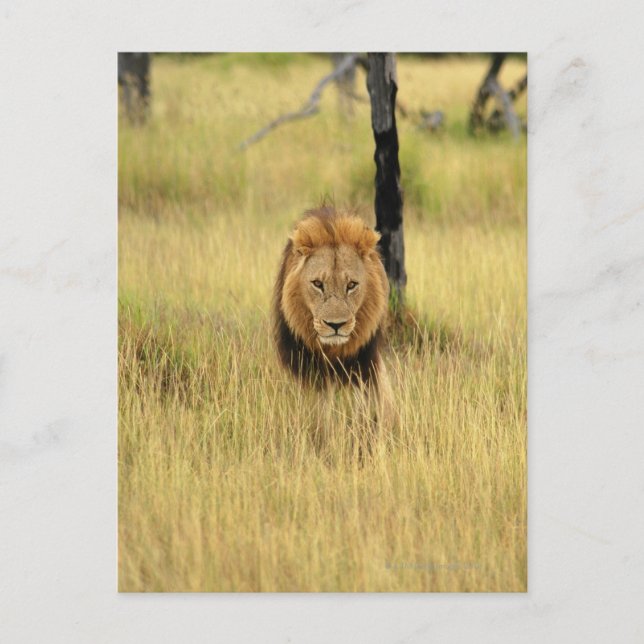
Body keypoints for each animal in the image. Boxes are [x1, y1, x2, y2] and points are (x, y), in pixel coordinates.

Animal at [272, 206, 393, 434]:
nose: (335, 325)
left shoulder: (364, 367)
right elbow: (318, 410)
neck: (333, 350)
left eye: (352, 285)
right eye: (318, 284)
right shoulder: (308, 371)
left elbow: (364, 407)